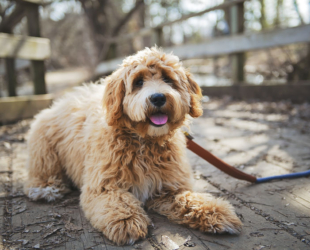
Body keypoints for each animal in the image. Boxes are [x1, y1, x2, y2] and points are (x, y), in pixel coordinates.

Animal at [24, 47, 242, 246]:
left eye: (168, 79)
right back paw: (45, 188)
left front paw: (216, 212)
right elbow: (117, 201)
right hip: (44, 148)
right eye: (138, 82)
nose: (158, 97)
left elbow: (190, 199)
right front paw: (126, 221)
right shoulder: (102, 187)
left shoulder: (167, 188)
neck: (144, 142)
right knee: (43, 170)